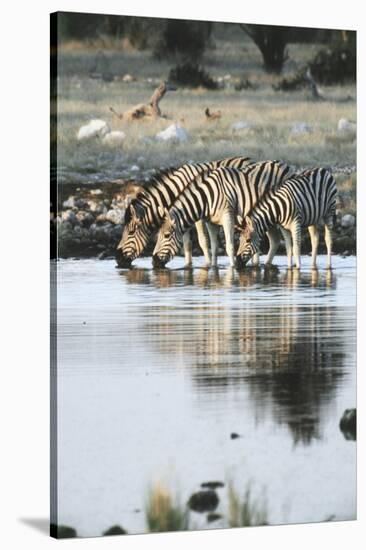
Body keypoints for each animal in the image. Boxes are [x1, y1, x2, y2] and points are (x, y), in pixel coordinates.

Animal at [116, 156, 253, 268]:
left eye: (131, 232)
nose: (118, 260)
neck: (177, 189)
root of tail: (248, 159)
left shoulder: (198, 215)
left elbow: (203, 241)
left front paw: (207, 265)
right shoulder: (182, 215)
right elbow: (187, 244)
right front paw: (188, 266)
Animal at [152, 161, 294, 268]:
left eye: (166, 235)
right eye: (157, 235)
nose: (153, 262)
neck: (206, 198)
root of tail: (285, 165)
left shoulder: (227, 216)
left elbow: (229, 246)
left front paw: (232, 268)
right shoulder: (211, 222)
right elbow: (214, 247)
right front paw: (213, 268)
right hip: (268, 217)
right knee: (275, 240)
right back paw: (265, 265)